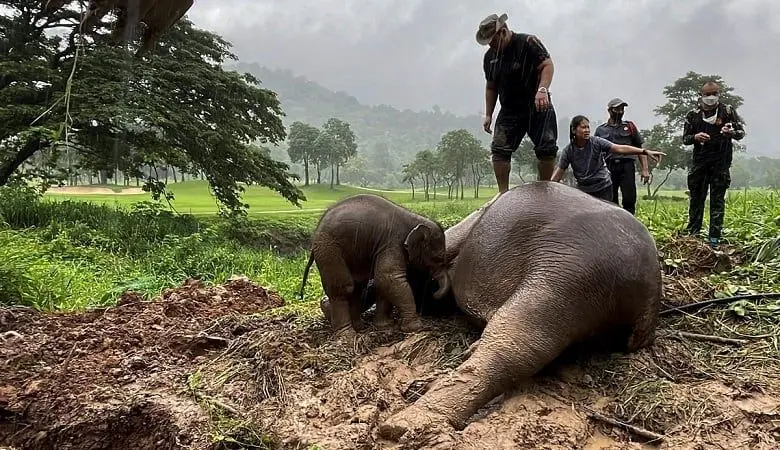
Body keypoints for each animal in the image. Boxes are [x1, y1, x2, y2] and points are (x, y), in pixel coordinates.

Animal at [298, 193, 450, 338]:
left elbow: (382, 282)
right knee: (344, 287)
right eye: (438, 258)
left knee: (357, 286)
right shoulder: (392, 243)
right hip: (329, 249)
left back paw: (359, 327)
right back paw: (347, 335)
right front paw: (416, 327)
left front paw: (385, 326)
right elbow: (388, 277)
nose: (434, 293)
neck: (414, 218)